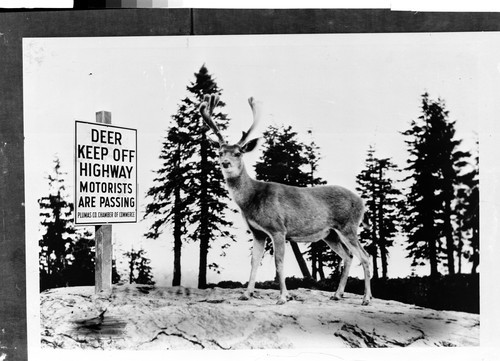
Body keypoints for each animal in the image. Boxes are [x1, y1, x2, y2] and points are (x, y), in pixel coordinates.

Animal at [199, 93, 372, 304]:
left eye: (238, 153)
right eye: (220, 152)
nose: (225, 163)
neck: (251, 199)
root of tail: (362, 202)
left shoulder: (278, 228)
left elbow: (278, 262)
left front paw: (282, 297)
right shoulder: (257, 232)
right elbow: (254, 262)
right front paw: (246, 294)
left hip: (348, 226)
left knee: (365, 256)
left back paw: (366, 298)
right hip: (330, 233)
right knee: (348, 256)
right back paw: (337, 294)